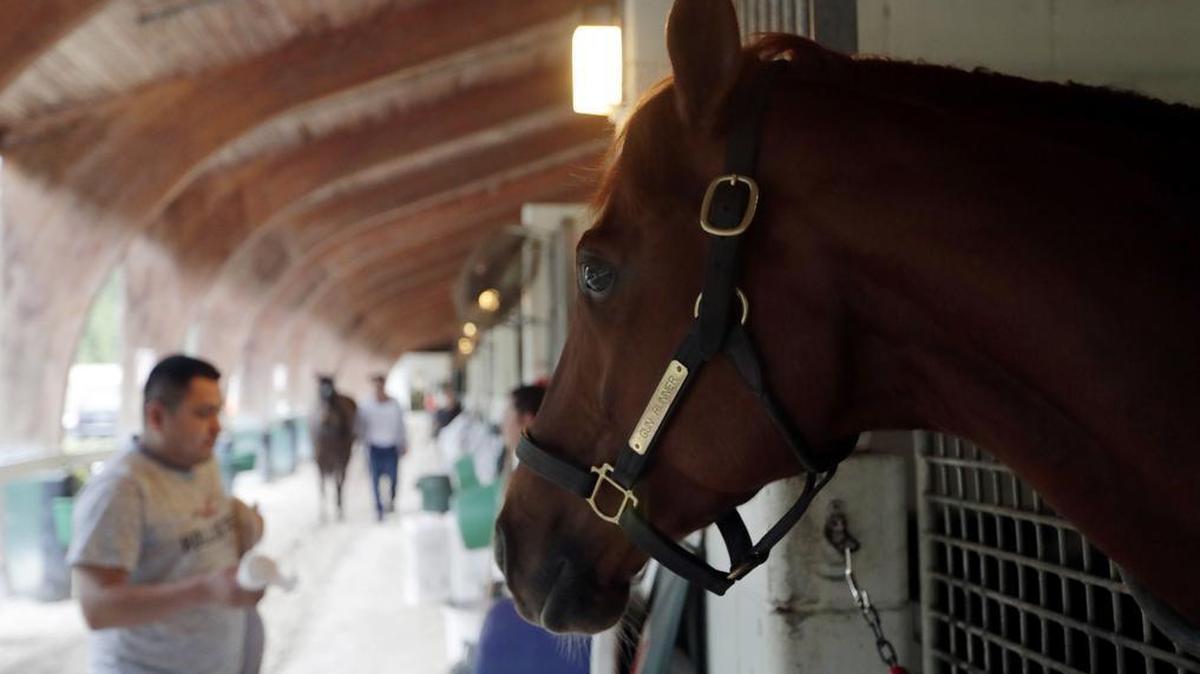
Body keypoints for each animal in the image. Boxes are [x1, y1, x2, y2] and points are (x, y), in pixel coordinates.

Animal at [311, 375, 357, 521]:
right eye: (319, 393)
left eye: (333, 397)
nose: (325, 417)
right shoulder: (319, 458)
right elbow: (322, 484)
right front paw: (323, 515)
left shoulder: (342, 457)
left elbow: (339, 482)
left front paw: (339, 509)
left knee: (340, 479)